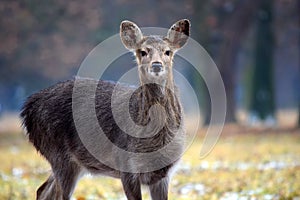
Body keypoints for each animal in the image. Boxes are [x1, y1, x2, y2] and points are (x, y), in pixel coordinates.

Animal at [20, 19, 190, 200]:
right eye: (143, 52)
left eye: (168, 52)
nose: (156, 65)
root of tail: (28, 108)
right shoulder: (125, 164)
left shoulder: (163, 173)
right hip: (58, 153)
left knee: (42, 190)